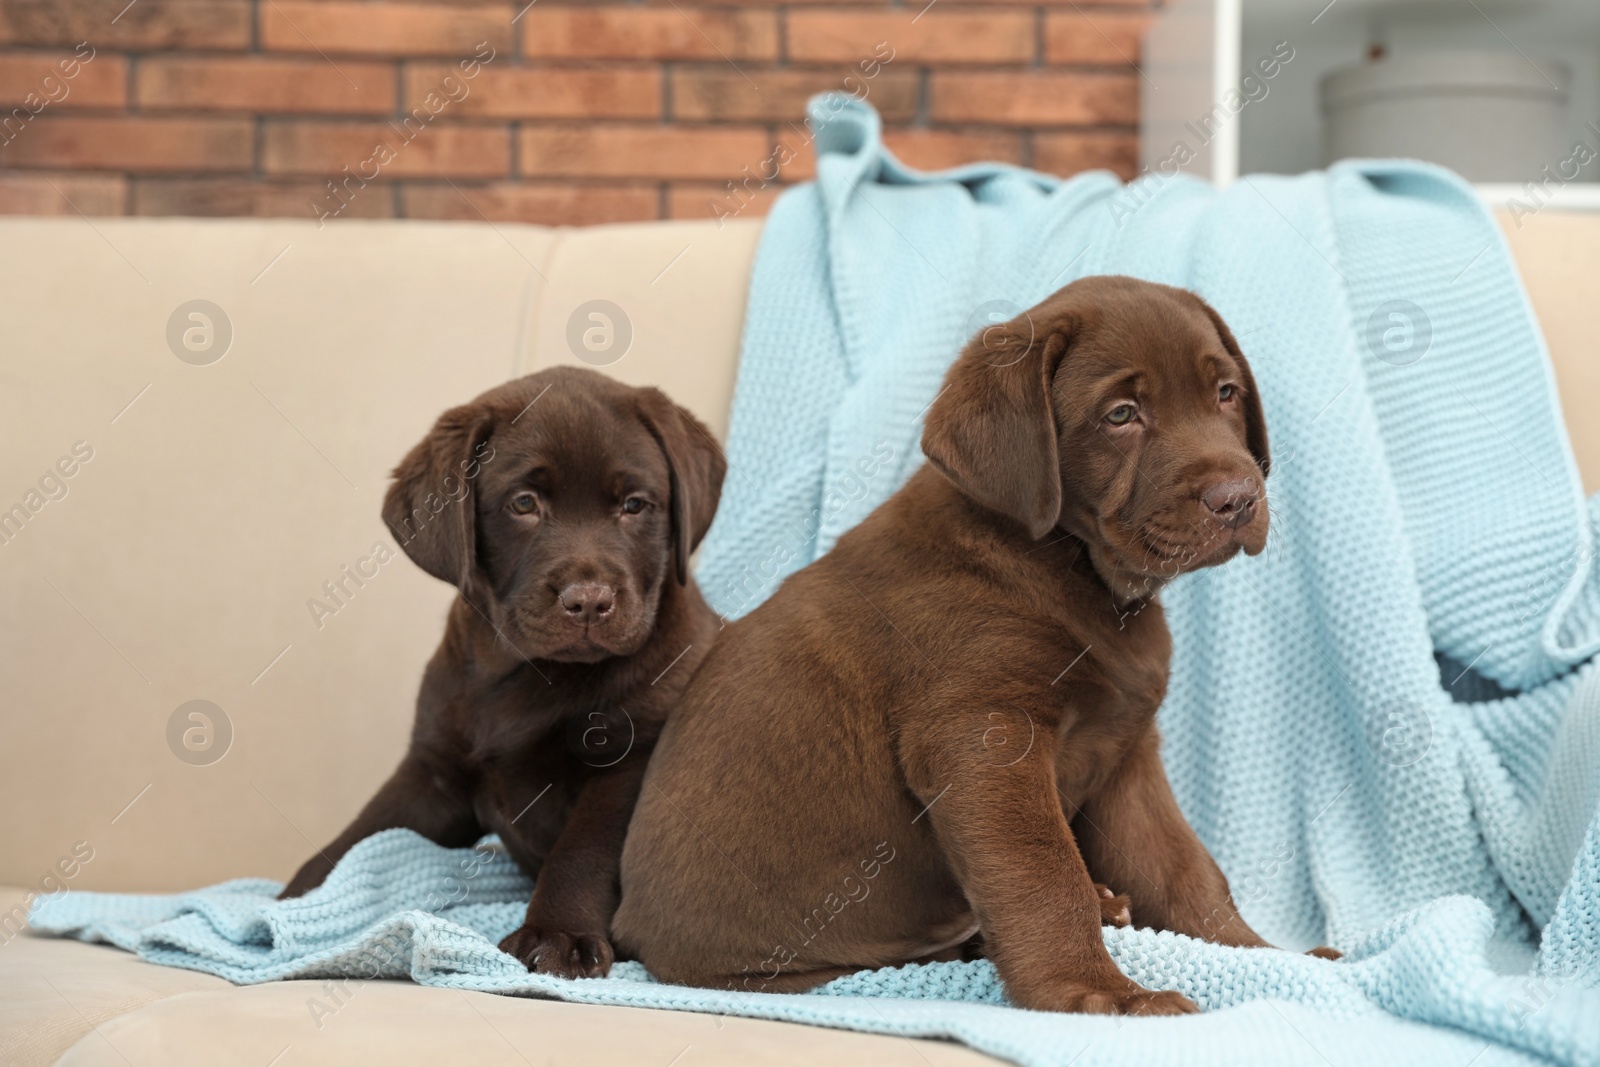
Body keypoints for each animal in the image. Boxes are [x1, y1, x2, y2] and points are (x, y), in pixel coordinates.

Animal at [280, 363, 726, 979]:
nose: (589, 601)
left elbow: (582, 852)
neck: (525, 672)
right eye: (523, 503)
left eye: (635, 505)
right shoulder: (434, 771)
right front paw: (289, 901)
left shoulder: (629, 763)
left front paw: (559, 935)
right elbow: (363, 832)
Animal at [614, 273, 1312, 1011]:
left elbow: (1183, 867)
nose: (1238, 498)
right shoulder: (983, 739)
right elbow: (1045, 875)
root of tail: (627, 927)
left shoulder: (1127, 750)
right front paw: (1099, 994)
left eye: (1225, 393)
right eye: (1122, 414)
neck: (1077, 569)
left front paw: (1266, 954)